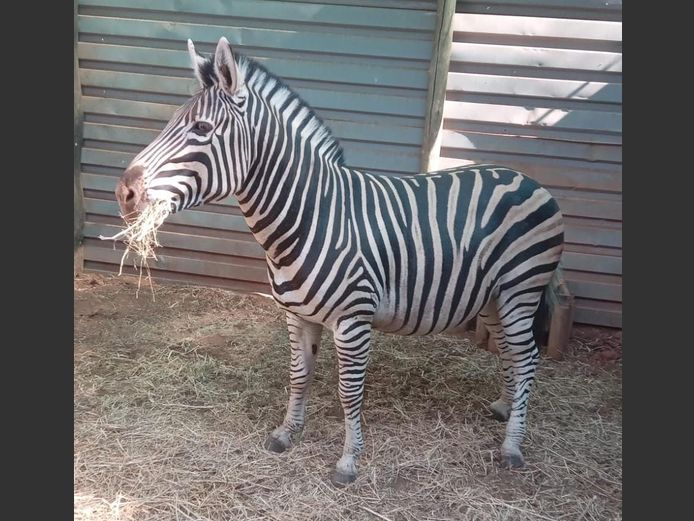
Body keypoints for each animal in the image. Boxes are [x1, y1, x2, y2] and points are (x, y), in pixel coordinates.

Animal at [115, 37, 565, 486]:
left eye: (202, 130)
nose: (124, 192)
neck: (312, 216)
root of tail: (529, 180)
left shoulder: (353, 321)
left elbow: (350, 391)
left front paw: (349, 461)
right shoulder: (296, 315)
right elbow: (299, 375)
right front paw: (286, 433)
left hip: (520, 289)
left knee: (527, 356)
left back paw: (512, 446)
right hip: (490, 297)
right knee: (510, 352)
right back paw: (505, 408)